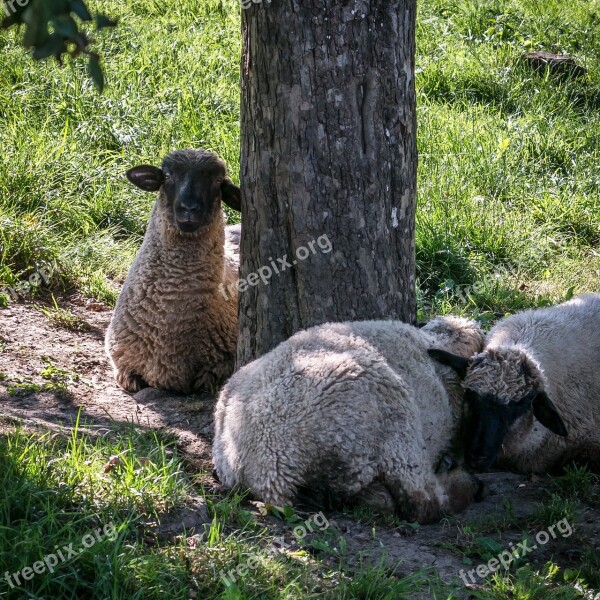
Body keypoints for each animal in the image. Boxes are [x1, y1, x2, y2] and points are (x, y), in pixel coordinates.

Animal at [105, 149, 241, 394]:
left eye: (218, 181)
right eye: (167, 176)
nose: (189, 209)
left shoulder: (227, 358)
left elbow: (208, 378)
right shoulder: (121, 358)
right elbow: (128, 378)